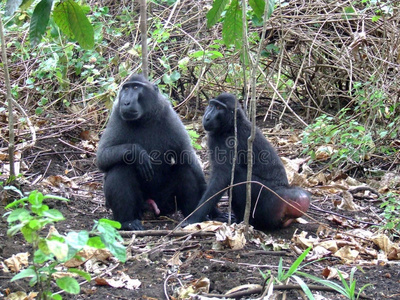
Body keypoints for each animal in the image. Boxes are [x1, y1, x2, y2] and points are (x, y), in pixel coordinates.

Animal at [97, 74, 209, 230]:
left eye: (136, 87)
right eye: (126, 88)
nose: (125, 102)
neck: (144, 118)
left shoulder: (168, 114)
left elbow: (188, 158)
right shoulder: (116, 115)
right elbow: (102, 157)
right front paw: (138, 153)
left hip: (166, 203)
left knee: (185, 169)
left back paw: (191, 218)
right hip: (140, 203)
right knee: (120, 168)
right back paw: (127, 222)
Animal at [186, 93, 310, 230]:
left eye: (219, 108)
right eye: (211, 105)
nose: (207, 117)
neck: (231, 126)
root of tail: (283, 193)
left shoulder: (230, 142)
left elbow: (222, 177)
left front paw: (194, 217)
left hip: (267, 199)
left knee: (239, 178)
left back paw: (244, 222)